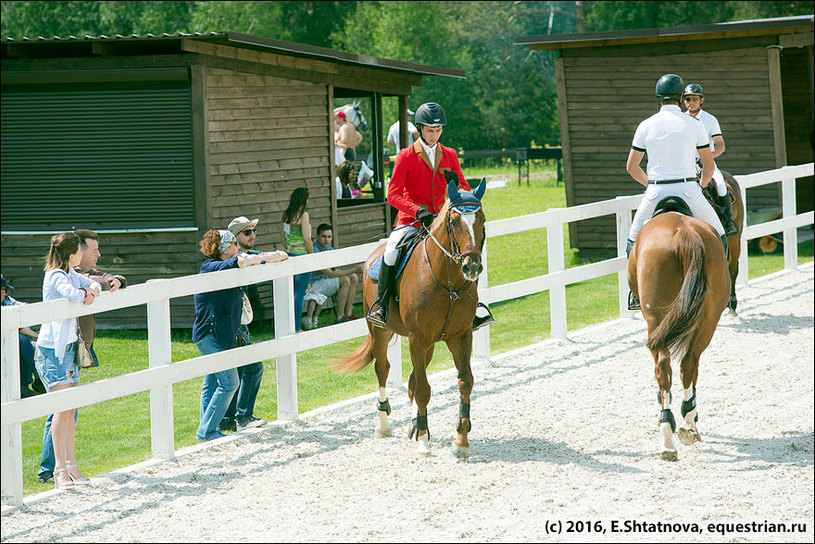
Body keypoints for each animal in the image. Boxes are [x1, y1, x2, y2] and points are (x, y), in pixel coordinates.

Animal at [332, 181, 484, 456]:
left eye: (482, 219)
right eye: (454, 221)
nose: (472, 266)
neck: (447, 282)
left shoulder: (460, 336)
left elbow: (465, 382)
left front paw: (460, 441)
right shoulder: (418, 337)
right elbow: (423, 389)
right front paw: (423, 441)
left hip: (429, 344)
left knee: (414, 376)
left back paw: (415, 424)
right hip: (380, 331)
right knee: (383, 369)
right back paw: (384, 425)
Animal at [628, 211, 728, 460]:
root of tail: (683, 231)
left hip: (658, 319)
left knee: (667, 367)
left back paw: (670, 436)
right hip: (707, 319)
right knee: (688, 363)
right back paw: (685, 427)